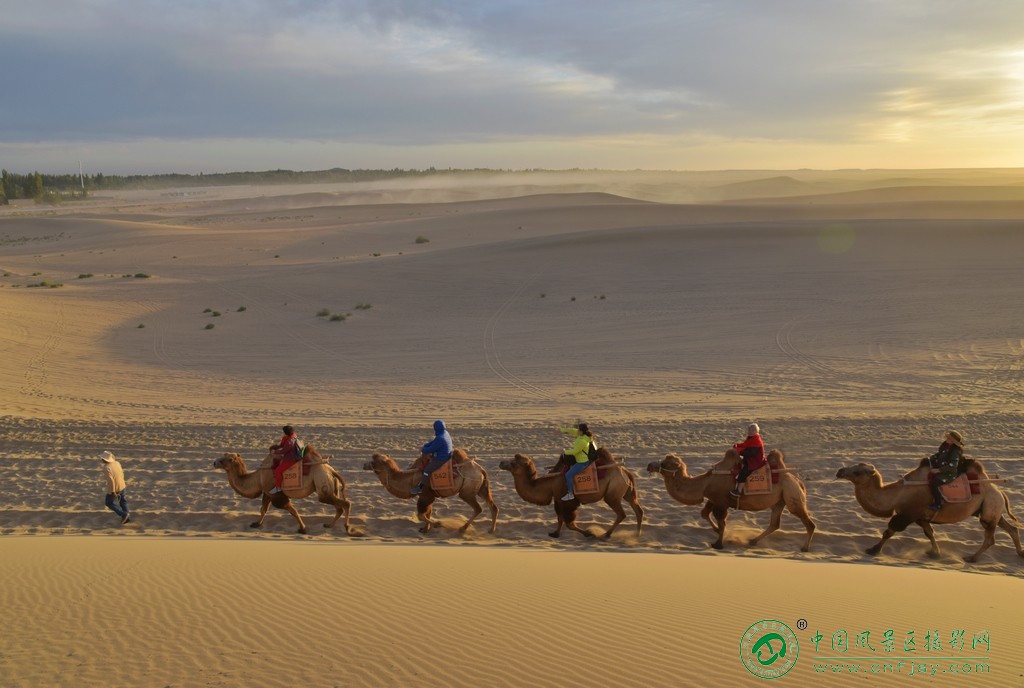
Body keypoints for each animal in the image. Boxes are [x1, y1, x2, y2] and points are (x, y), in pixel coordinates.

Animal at [211, 448, 352, 536]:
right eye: (224, 454)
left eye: (226, 459)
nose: (214, 462)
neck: (258, 477)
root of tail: (331, 470)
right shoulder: (267, 492)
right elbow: (263, 509)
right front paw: (256, 524)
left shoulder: (277, 494)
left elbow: (292, 510)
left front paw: (303, 528)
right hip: (331, 486)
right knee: (339, 507)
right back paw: (329, 525)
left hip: (322, 483)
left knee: (345, 504)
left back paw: (347, 529)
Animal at [362, 448, 497, 536]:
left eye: (373, 462)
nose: (364, 465)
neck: (410, 478)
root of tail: (481, 470)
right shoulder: (429, 496)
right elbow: (428, 513)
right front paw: (425, 529)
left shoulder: (425, 495)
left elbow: (421, 515)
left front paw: (437, 524)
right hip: (482, 488)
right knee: (493, 506)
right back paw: (490, 530)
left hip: (467, 491)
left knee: (478, 508)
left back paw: (462, 528)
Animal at [493, 448, 638, 540]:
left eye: (513, 462)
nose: (501, 463)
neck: (550, 483)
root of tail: (625, 471)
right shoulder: (558, 499)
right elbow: (559, 518)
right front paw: (555, 533)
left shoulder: (568, 502)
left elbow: (569, 523)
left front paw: (589, 533)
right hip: (626, 491)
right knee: (637, 509)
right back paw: (638, 532)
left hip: (612, 493)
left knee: (621, 514)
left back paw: (607, 535)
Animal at [647, 448, 815, 552]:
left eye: (664, 463)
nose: (649, 465)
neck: (704, 483)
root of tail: (797, 481)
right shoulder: (714, 499)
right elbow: (704, 513)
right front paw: (715, 532)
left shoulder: (721, 503)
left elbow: (722, 522)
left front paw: (718, 544)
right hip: (780, 501)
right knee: (775, 523)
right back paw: (753, 541)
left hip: (792, 496)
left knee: (807, 522)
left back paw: (805, 548)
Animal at [835, 458, 1019, 561]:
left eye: (857, 472)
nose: (839, 470)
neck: (897, 495)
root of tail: (1000, 491)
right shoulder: (920, 517)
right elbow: (929, 533)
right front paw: (935, 553)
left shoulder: (907, 514)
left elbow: (889, 531)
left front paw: (873, 550)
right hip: (992, 509)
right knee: (1011, 528)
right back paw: (1021, 553)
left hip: (989, 508)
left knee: (990, 537)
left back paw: (972, 558)